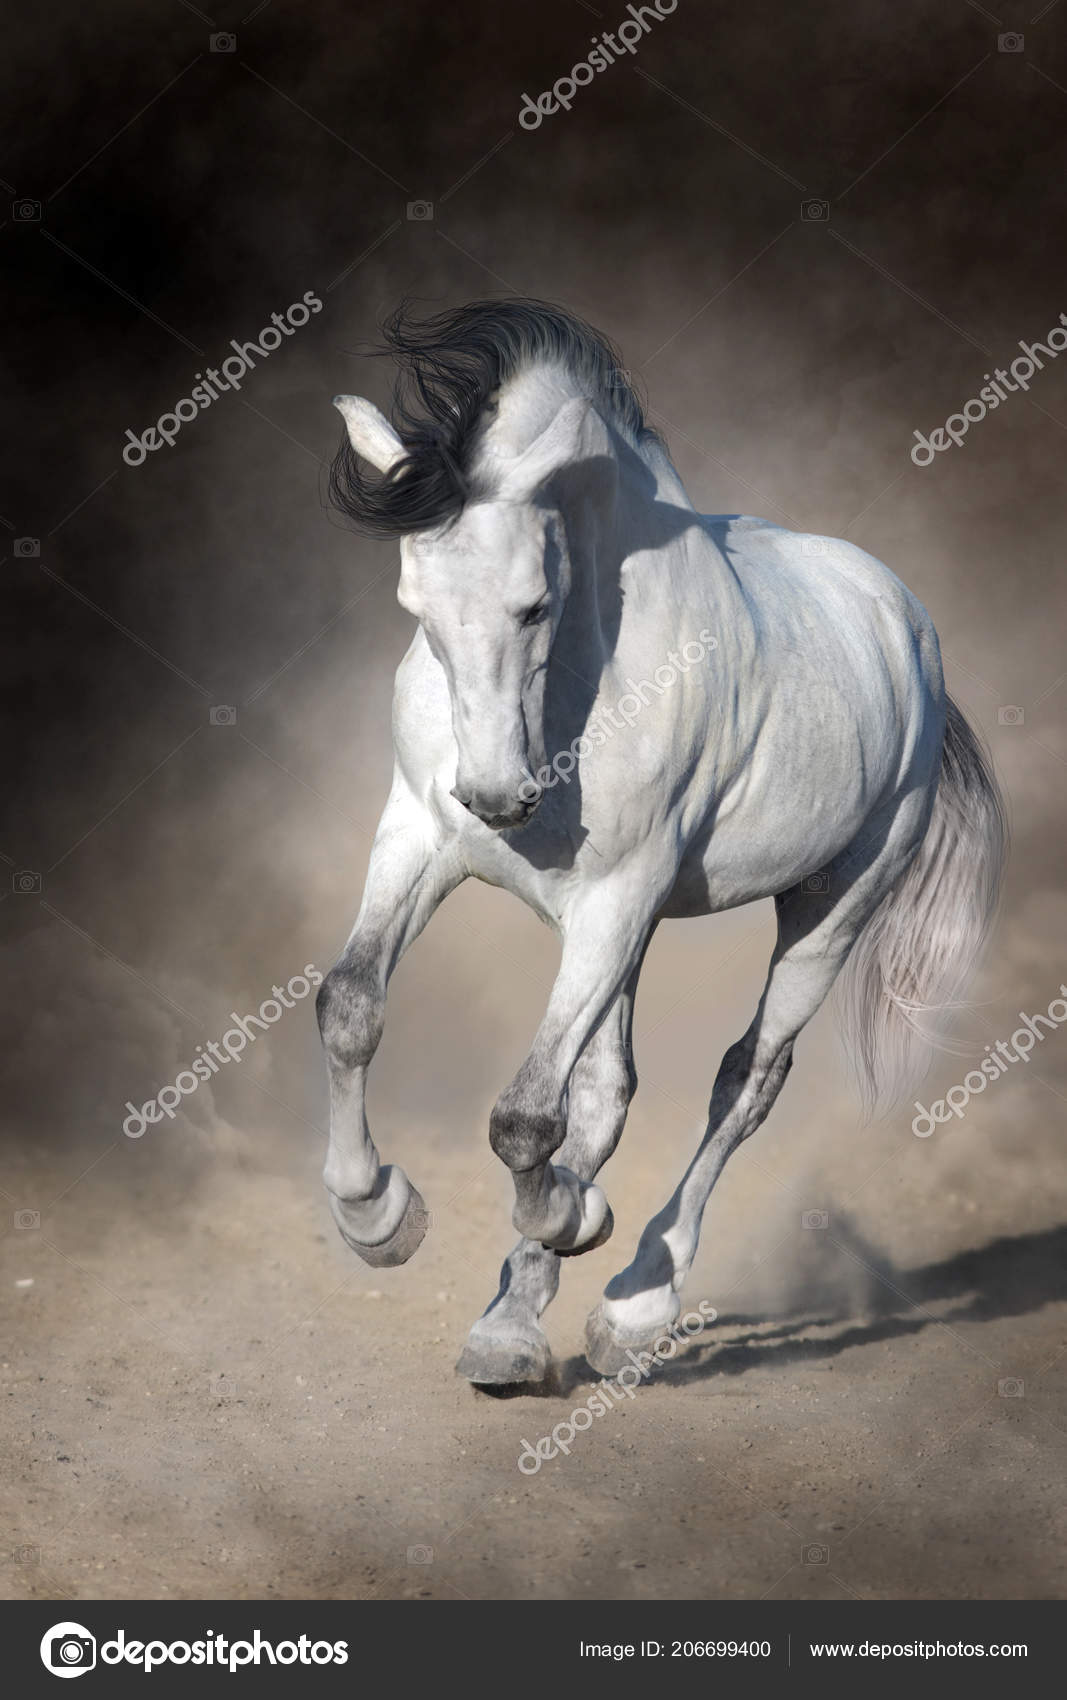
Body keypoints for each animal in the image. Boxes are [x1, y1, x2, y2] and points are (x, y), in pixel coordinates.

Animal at [316, 298, 1006, 1385]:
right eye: (413, 608)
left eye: (531, 603)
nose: (495, 797)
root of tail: (905, 629)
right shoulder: (420, 837)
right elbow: (351, 1006)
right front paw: (376, 1216)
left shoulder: (617, 894)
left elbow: (526, 1115)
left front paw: (574, 1218)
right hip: (624, 934)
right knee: (607, 1089)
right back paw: (510, 1326)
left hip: (828, 908)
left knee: (744, 1081)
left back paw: (633, 1299)